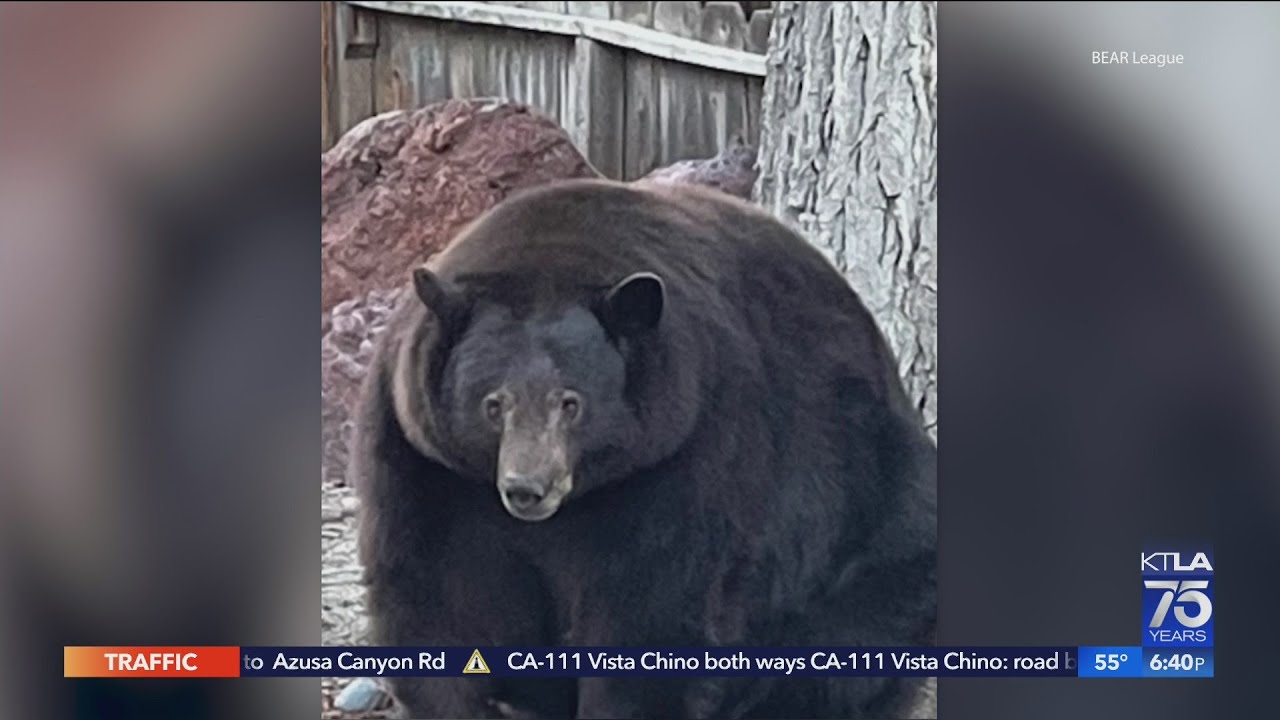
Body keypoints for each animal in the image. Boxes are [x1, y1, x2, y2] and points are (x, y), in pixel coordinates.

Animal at [355, 176, 936, 712]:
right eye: (493, 404)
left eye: (572, 403)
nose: (528, 488)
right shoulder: (425, 462)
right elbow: (437, 592)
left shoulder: (688, 449)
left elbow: (653, 607)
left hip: (867, 511)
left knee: (854, 636)